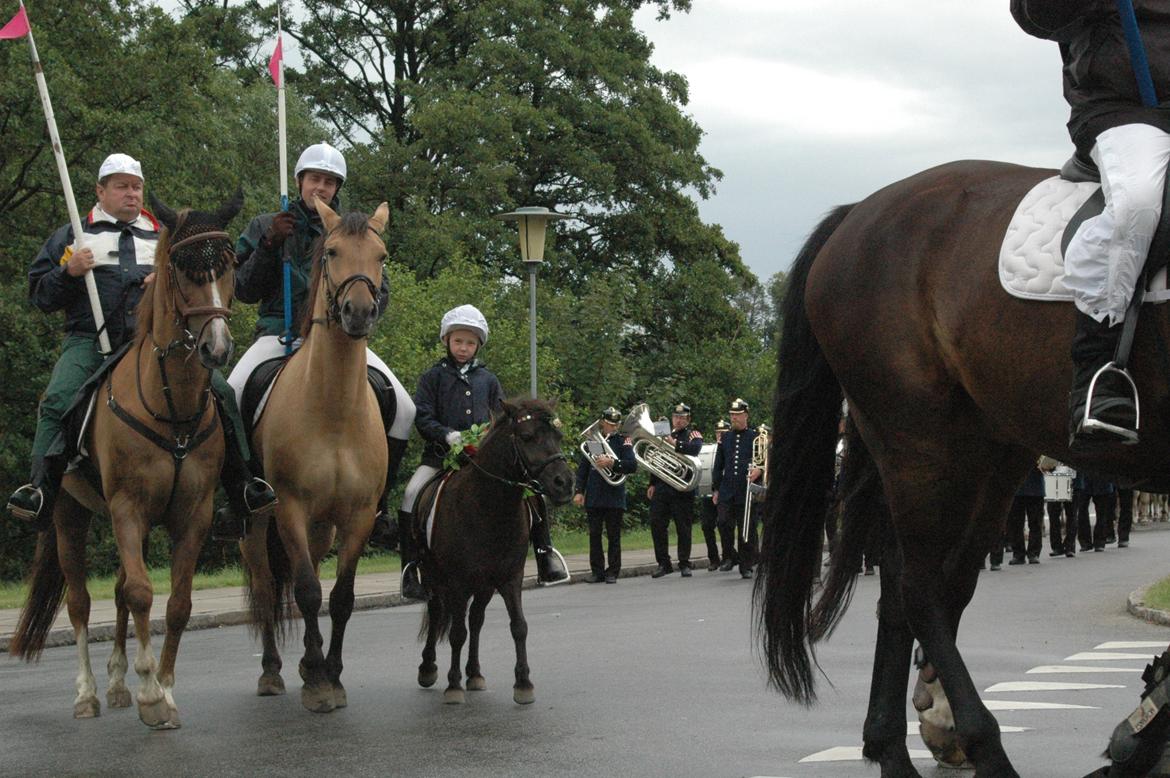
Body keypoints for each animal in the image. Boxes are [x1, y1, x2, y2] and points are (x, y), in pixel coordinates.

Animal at [10, 193, 243, 730]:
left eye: (229, 266)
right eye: (181, 269)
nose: (217, 347)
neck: (172, 405)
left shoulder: (192, 515)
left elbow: (176, 604)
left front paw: (164, 689)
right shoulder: (127, 509)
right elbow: (139, 593)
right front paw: (151, 692)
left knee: (116, 591)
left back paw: (118, 683)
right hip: (69, 515)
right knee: (79, 603)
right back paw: (89, 693)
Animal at [239, 198, 390, 711]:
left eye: (382, 257)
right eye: (332, 253)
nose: (358, 312)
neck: (334, 411)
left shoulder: (358, 515)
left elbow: (340, 597)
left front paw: (331, 673)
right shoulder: (289, 507)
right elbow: (305, 591)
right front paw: (319, 685)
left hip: (322, 526)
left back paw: (310, 662)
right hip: (258, 524)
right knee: (266, 585)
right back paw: (271, 671)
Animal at [414, 397, 573, 706]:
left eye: (558, 436)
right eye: (527, 436)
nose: (565, 483)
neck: (489, 507)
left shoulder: (510, 577)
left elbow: (518, 626)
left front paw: (523, 683)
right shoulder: (458, 583)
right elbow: (457, 633)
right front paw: (453, 685)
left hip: (484, 585)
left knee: (476, 620)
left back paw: (474, 674)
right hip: (434, 578)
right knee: (438, 612)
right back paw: (428, 668)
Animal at [753, 157, 1170, 776]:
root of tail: (858, 213)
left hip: (979, 457)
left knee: (919, 584)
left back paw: (900, 739)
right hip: (921, 446)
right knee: (920, 588)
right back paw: (976, 741)